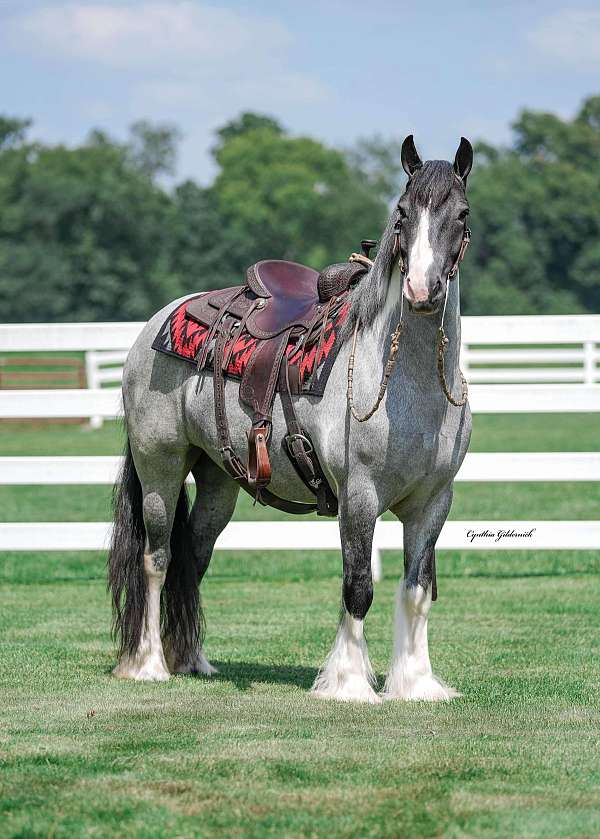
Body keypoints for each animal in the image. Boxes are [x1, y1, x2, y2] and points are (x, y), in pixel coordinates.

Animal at [106, 136, 474, 704]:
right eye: (402, 213)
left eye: (461, 213)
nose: (420, 290)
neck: (403, 387)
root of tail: (158, 323)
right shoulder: (359, 498)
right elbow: (358, 587)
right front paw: (349, 684)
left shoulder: (433, 504)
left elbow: (416, 591)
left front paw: (415, 684)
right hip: (160, 469)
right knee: (158, 557)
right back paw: (149, 665)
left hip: (218, 481)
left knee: (193, 557)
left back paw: (192, 660)